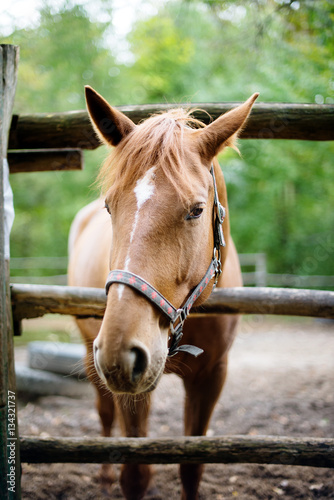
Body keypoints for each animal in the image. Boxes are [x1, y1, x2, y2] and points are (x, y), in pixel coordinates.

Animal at [68, 87, 258, 500]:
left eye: (197, 210)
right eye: (110, 206)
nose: (120, 353)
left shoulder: (212, 376)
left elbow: (191, 467)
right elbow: (135, 475)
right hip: (90, 350)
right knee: (104, 413)